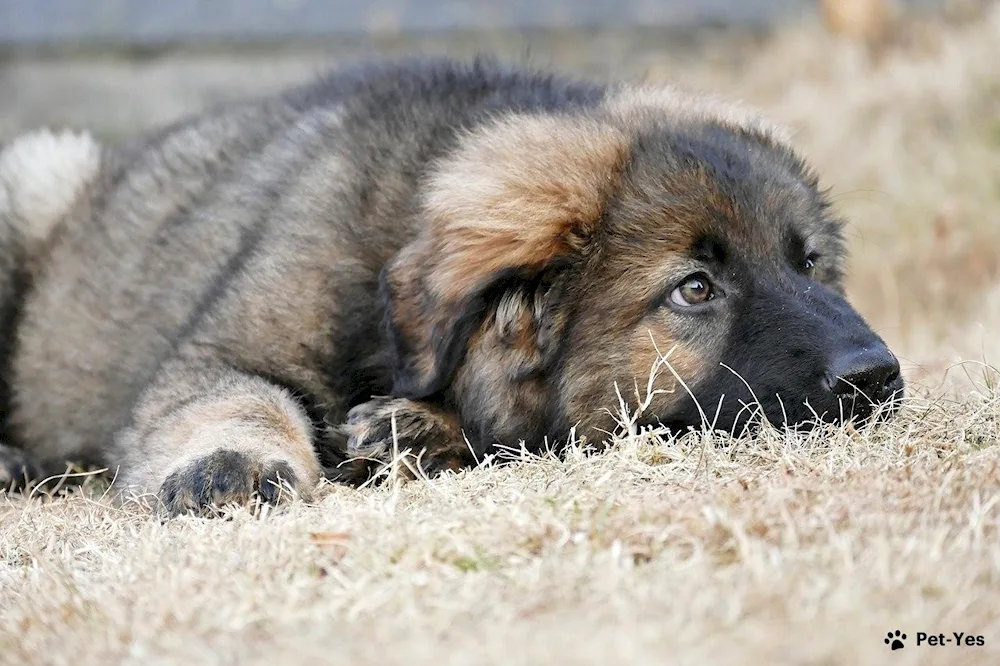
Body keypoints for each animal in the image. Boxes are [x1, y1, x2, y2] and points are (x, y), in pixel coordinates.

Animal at [0, 57, 904, 512]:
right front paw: (230, 463)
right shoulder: (220, 351)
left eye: (807, 262)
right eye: (694, 289)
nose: (878, 377)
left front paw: (420, 431)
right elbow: (239, 397)